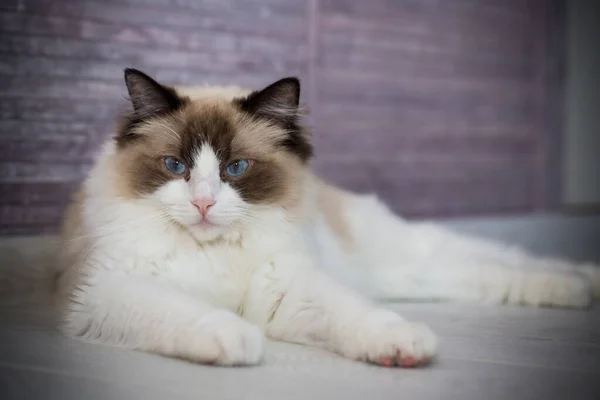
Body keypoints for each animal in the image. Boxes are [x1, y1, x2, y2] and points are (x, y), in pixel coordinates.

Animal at [42, 66, 600, 368]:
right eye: (175, 167)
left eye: (235, 168)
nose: (202, 203)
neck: (215, 253)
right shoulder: (112, 290)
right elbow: (191, 312)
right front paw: (238, 342)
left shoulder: (289, 289)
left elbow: (362, 318)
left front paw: (405, 347)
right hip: (414, 277)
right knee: (494, 273)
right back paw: (581, 287)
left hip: (410, 255)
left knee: (506, 260)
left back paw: (581, 282)